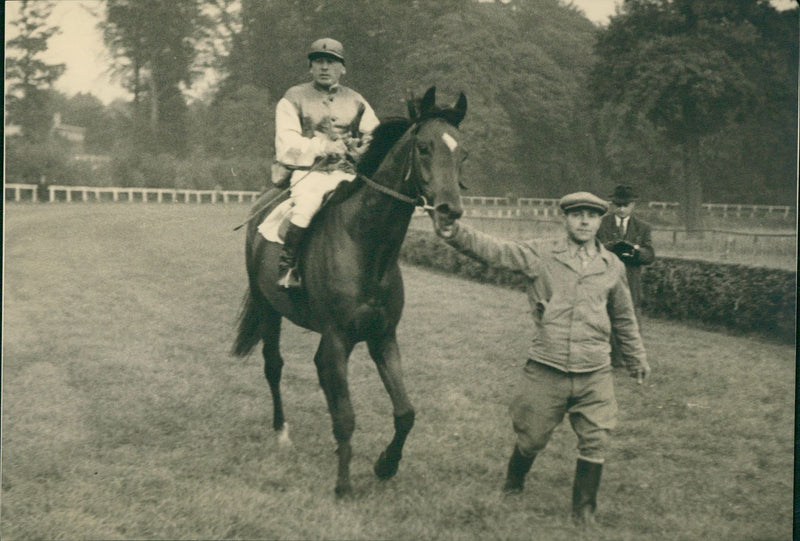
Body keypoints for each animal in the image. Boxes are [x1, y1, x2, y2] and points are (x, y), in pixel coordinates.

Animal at [231, 86, 468, 496]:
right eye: (423, 147)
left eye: (462, 152)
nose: (448, 212)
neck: (366, 246)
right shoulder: (339, 337)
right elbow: (346, 415)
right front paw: (343, 484)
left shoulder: (382, 336)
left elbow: (405, 412)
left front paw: (386, 464)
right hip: (268, 309)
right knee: (274, 365)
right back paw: (281, 432)